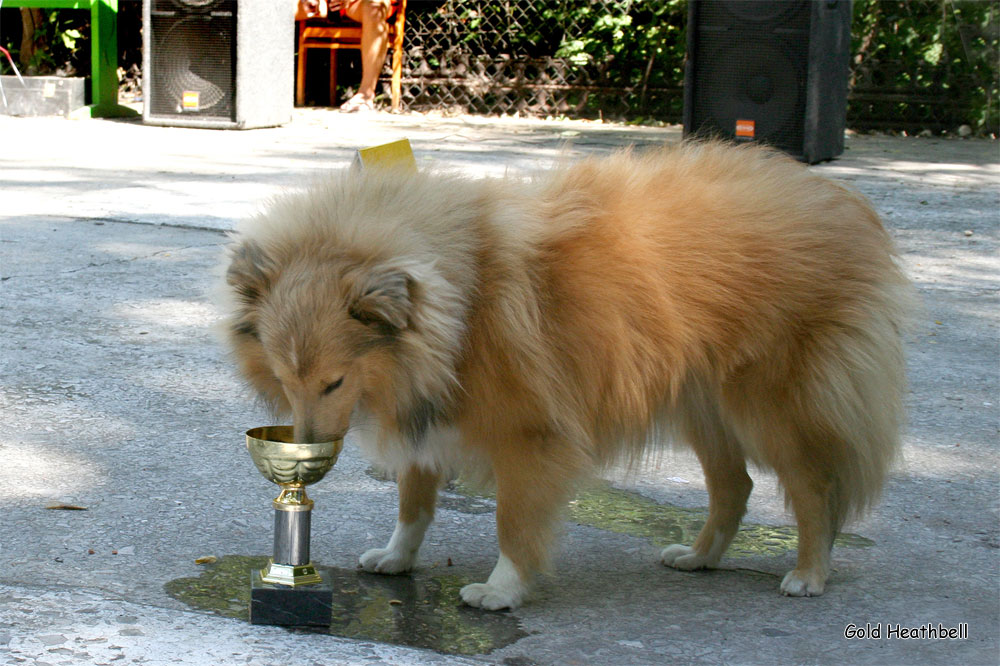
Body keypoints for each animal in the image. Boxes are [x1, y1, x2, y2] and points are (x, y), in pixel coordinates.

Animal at [221, 140, 916, 608]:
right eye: (285, 380)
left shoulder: (530, 436)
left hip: (770, 407)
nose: (309, 448)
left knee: (813, 489)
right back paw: (698, 558)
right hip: (702, 407)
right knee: (734, 487)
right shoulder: (430, 418)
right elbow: (414, 502)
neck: (460, 308)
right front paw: (396, 557)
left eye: (334, 382)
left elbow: (513, 522)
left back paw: (808, 574)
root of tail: (838, 200)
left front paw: (501, 591)